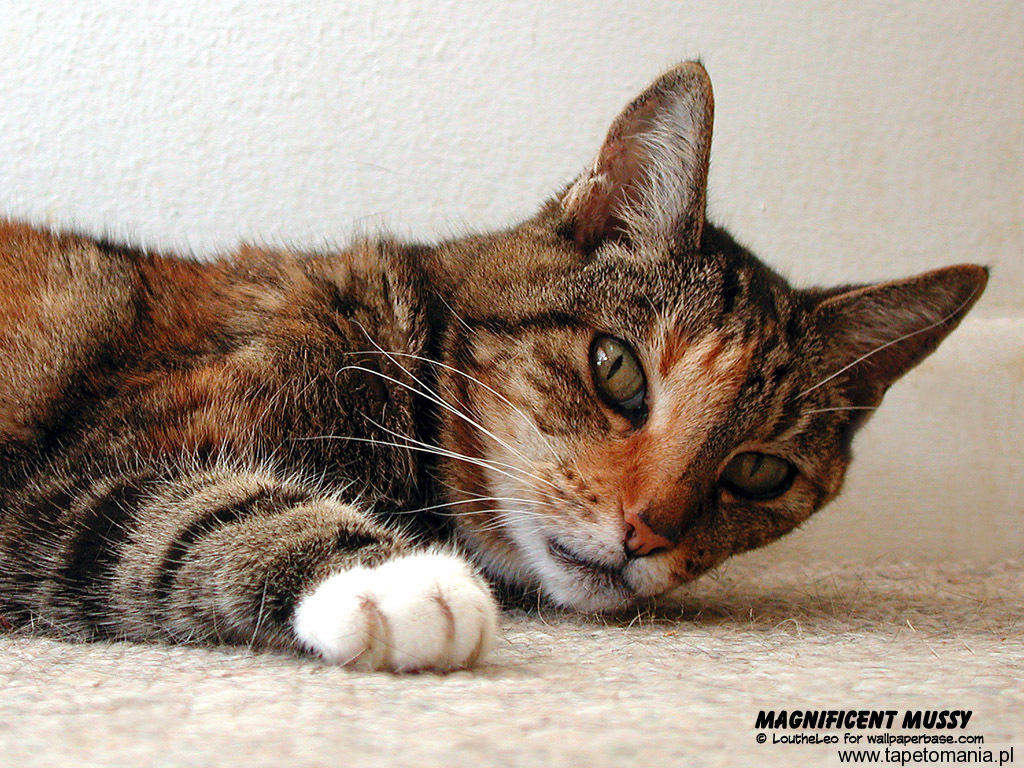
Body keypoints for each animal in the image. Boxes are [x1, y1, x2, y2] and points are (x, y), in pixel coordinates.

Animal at [0, 62, 986, 672]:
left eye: (758, 472)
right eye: (618, 370)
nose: (648, 533)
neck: (402, 345)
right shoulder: (61, 480)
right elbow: (190, 511)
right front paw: (401, 583)